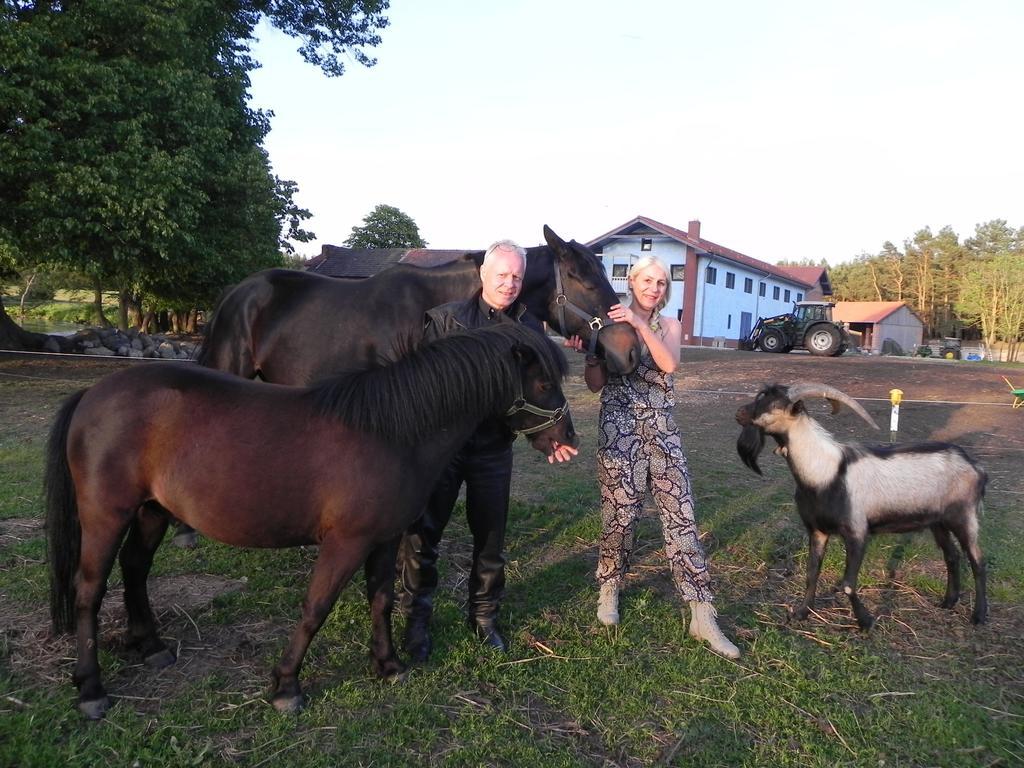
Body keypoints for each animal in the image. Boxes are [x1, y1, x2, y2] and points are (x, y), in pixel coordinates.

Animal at [46, 321, 577, 720]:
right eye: (544, 383)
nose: (566, 439)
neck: (392, 431)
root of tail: (92, 395)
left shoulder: (383, 540)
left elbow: (382, 600)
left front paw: (388, 664)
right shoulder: (345, 543)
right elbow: (315, 608)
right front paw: (286, 686)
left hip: (154, 511)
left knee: (135, 569)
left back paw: (152, 646)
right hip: (106, 515)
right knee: (89, 590)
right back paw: (91, 690)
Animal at [737, 385, 983, 630]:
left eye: (774, 404)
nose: (740, 413)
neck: (825, 473)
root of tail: (975, 467)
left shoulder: (856, 531)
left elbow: (848, 583)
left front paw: (865, 621)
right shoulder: (817, 529)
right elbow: (811, 572)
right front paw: (801, 612)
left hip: (963, 516)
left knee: (977, 560)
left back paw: (979, 616)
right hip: (937, 522)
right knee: (952, 555)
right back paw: (948, 602)